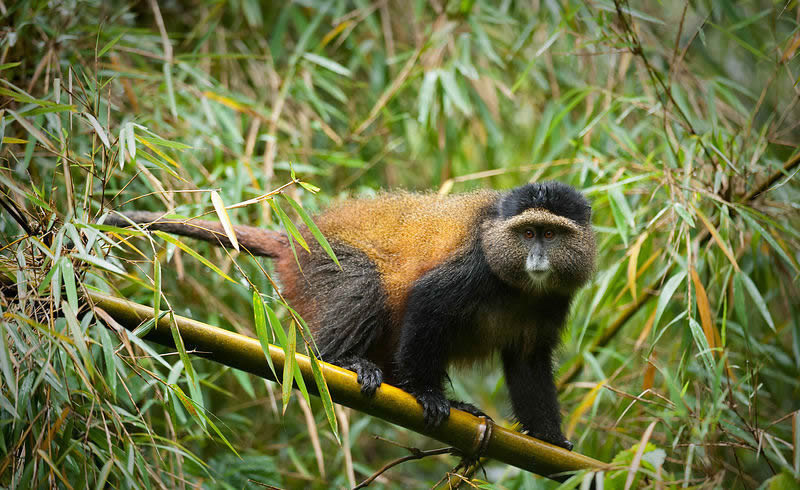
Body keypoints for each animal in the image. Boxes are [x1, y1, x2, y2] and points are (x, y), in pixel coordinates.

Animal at [104, 181, 595, 450]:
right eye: (528, 233)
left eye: (551, 235)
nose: (537, 258)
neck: (521, 285)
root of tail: (296, 240)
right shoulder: (475, 267)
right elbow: (428, 301)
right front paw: (427, 394)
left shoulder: (555, 301)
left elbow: (529, 362)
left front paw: (552, 442)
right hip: (324, 267)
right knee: (363, 283)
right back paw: (342, 361)